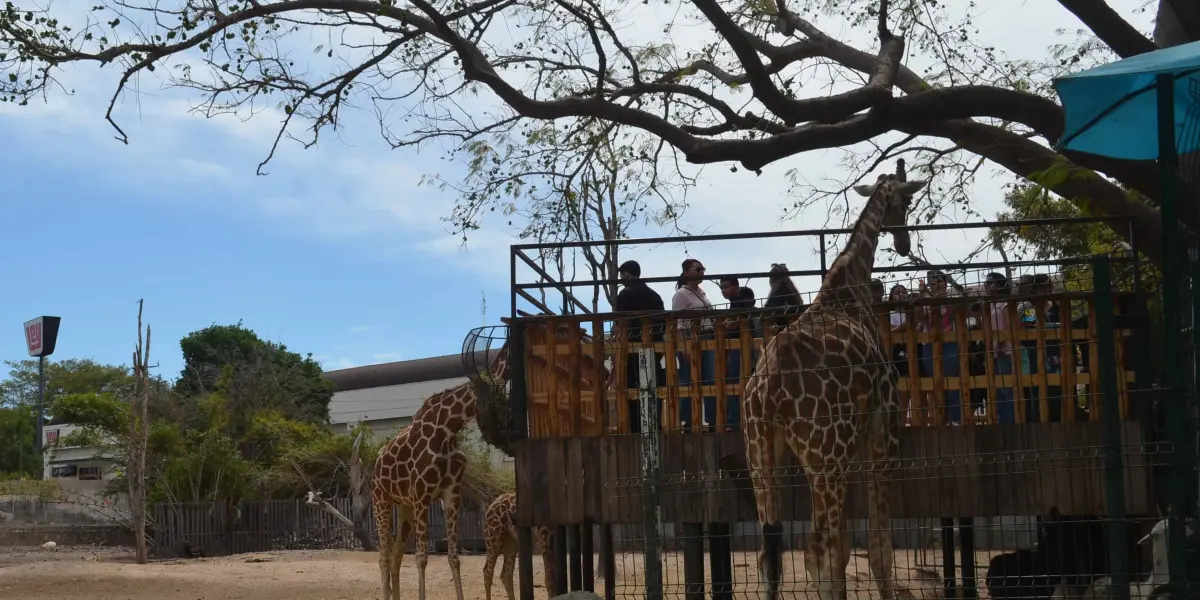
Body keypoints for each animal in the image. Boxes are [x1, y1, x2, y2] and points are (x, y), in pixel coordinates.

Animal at [372, 321, 604, 600]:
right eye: (560, 329)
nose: (589, 346)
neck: (447, 428)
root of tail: (376, 463)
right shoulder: (422, 495)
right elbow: (421, 558)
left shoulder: (450, 493)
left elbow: (454, 557)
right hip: (382, 498)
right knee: (383, 556)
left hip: (404, 506)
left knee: (395, 554)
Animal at [739, 163, 926, 600]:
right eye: (906, 200)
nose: (904, 243)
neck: (849, 284)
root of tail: (768, 392)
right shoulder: (884, 427)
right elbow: (877, 547)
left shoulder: (846, 450)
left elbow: (844, 548)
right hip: (825, 458)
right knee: (816, 550)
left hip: (763, 455)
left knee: (771, 554)